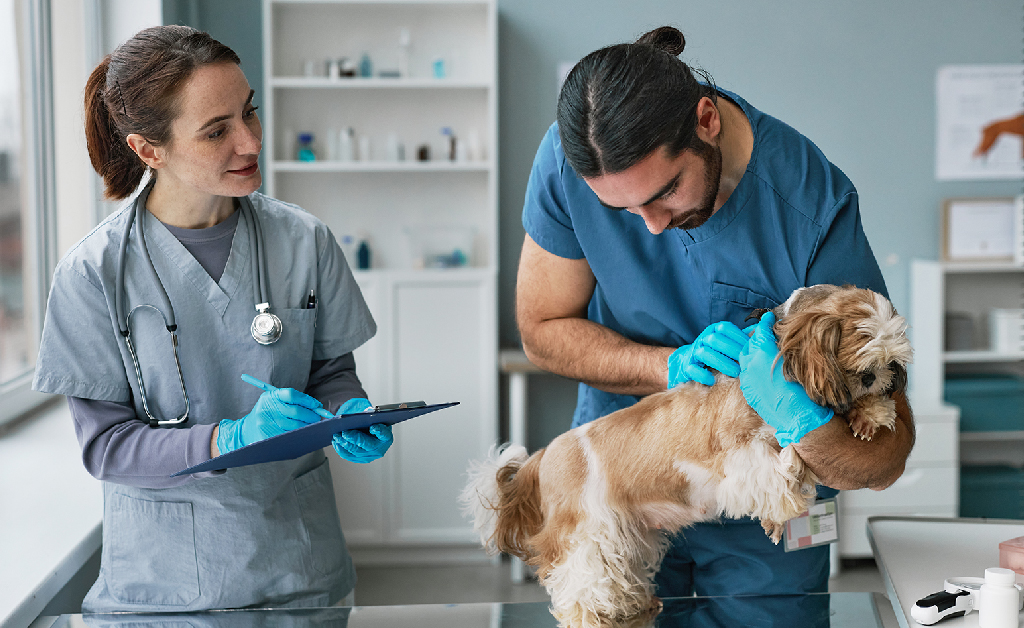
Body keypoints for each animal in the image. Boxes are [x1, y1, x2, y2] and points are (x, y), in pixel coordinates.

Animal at [462, 284, 913, 626]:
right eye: (862, 370)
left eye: (890, 366)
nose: (881, 379)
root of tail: (542, 457)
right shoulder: (734, 454)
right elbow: (772, 467)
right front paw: (788, 480)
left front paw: (871, 414)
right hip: (588, 537)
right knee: (578, 582)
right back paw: (591, 615)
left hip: (628, 537)